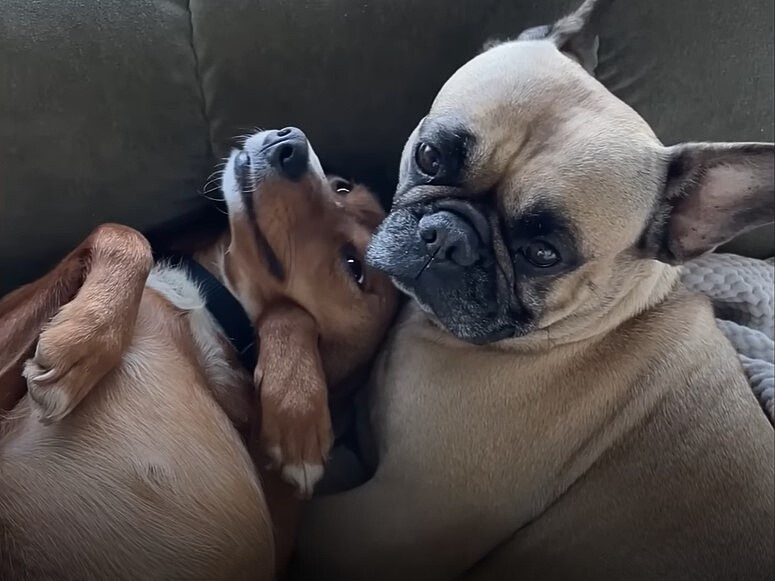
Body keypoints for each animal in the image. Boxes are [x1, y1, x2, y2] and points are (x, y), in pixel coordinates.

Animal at [0, 128, 398, 580]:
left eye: (353, 265)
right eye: (341, 187)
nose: (290, 143)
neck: (210, 294)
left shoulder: (279, 536)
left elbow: (290, 312)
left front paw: (297, 413)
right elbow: (124, 231)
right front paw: (82, 338)